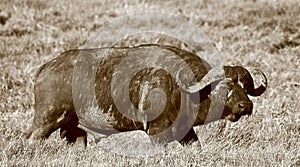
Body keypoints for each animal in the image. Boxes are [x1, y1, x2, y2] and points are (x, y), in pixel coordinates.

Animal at [26, 43, 268, 145]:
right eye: (226, 86)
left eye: (244, 87)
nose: (246, 106)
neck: (180, 89)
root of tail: (46, 68)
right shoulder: (157, 133)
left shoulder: (186, 132)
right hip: (45, 122)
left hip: (74, 132)